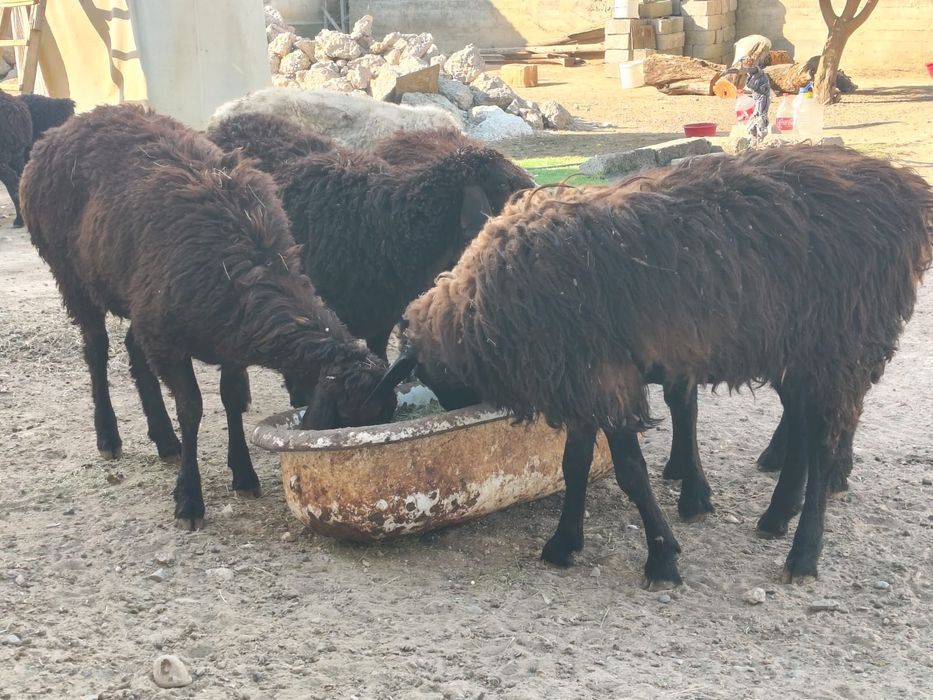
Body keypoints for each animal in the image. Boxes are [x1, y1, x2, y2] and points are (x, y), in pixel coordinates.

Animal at [20, 104, 397, 529]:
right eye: (353, 414)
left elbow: (231, 400)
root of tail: (61, 130)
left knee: (134, 350)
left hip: (142, 304)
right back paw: (109, 437)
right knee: (96, 351)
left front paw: (244, 474)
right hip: (73, 278)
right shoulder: (170, 341)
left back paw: (165, 440)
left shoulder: (230, 341)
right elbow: (192, 408)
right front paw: (189, 500)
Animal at [377, 145, 932, 586]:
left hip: (837, 345)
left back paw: (804, 552)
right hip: (798, 351)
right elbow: (575, 465)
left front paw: (662, 557)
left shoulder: (604, 377)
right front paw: (564, 543)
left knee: (823, 445)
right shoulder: (583, 380)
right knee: (802, 429)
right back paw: (777, 516)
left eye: (433, 378)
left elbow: (629, 473)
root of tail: (904, 190)